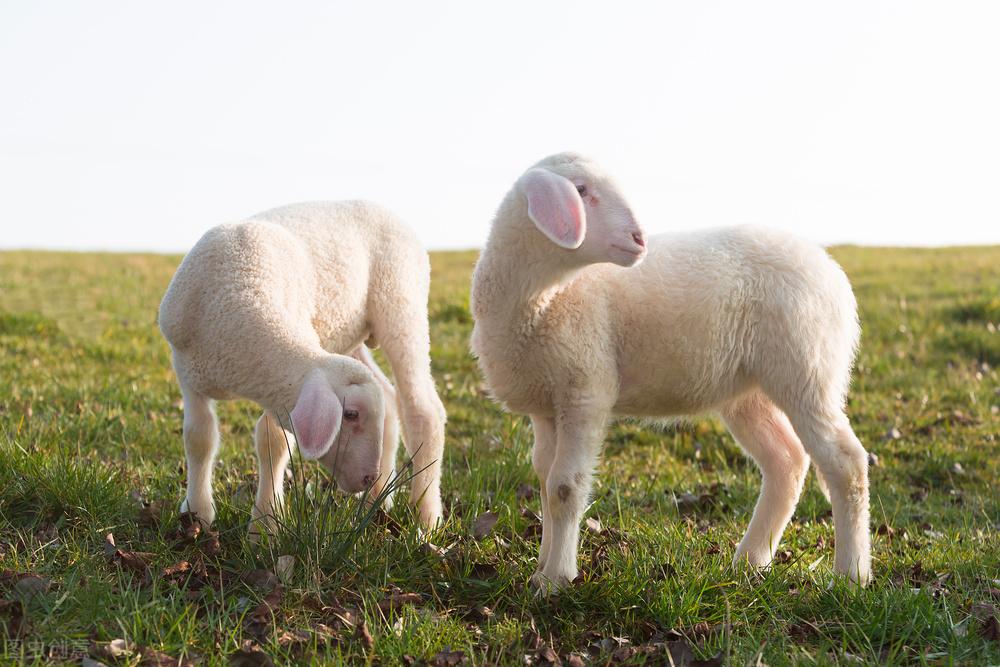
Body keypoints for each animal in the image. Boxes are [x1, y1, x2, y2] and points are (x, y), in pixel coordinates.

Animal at [159, 201, 446, 536]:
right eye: (351, 414)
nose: (367, 477)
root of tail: (383, 208)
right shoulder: (187, 371)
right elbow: (199, 438)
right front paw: (197, 514)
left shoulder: (278, 383)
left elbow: (272, 441)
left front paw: (265, 526)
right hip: (349, 334)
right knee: (388, 397)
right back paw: (379, 501)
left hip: (401, 304)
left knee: (424, 410)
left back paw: (426, 517)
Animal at [472, 154, 872, 592]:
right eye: (580, 190)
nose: (639, 239)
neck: (546, 297)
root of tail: (830, 268)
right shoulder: (546, 404)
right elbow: (545, 482)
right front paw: (541, 569)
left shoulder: (585, 390)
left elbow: (565, 486)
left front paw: (556, 579)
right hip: (750, 392)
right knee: (787, 461)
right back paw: (750, 560)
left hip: (807, 368)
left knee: (846, 463)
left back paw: (851, 575)